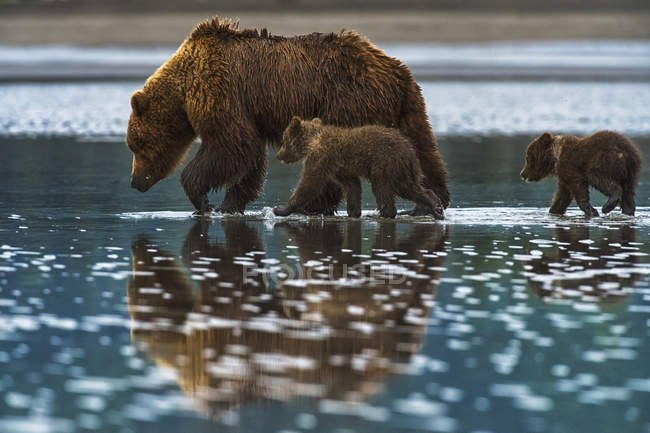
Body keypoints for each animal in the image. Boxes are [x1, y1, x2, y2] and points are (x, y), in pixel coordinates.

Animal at [126, 16, 446, 214]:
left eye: (135, 145)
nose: (135, 182)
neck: (184, 91)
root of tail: (395, 69)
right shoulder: (247, 109)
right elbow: (249, 156)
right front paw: (231, 204)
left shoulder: (220, 90)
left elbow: (230, 144)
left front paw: (203, 200)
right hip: (405, 107)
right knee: (424, 147)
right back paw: (431, 200)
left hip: (347, 98)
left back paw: (313, 204)